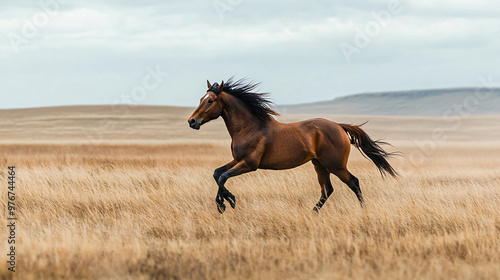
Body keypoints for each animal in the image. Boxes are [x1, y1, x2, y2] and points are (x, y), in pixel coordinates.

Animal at [188, 77, 398, 213]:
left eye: (210, 100)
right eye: (201, 99)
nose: (192, 121)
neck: (250, 127)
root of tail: (339, 126)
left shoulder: (249, 164)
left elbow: (223, 177)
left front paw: (223, 203)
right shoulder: (237, 160)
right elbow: (217, 173)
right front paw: (229, 199)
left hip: (335, 165)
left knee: (353, 182)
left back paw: (364, 212)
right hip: (319, 165)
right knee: (327, 190)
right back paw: (312, 212)